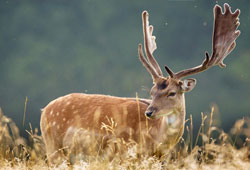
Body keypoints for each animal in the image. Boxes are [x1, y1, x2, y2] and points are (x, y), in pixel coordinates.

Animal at [41, 3, 240, 164]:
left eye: (172, 93)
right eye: (152, 92)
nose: (149, 112)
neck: (155, 141)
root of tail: (44, 110)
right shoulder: (122, 152)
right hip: (53, 148)